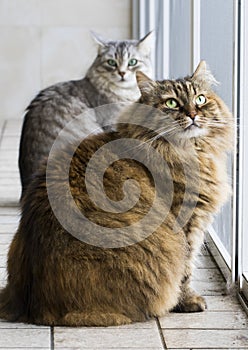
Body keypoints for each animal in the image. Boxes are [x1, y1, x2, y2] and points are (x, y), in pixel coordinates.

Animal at [0, 60, 232, 326]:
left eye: (201, 99)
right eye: (172, 103)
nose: (193, 114)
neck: (189, 151)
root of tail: (31, 304)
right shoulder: (187, 223)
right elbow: (186, 269)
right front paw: (188, 301)